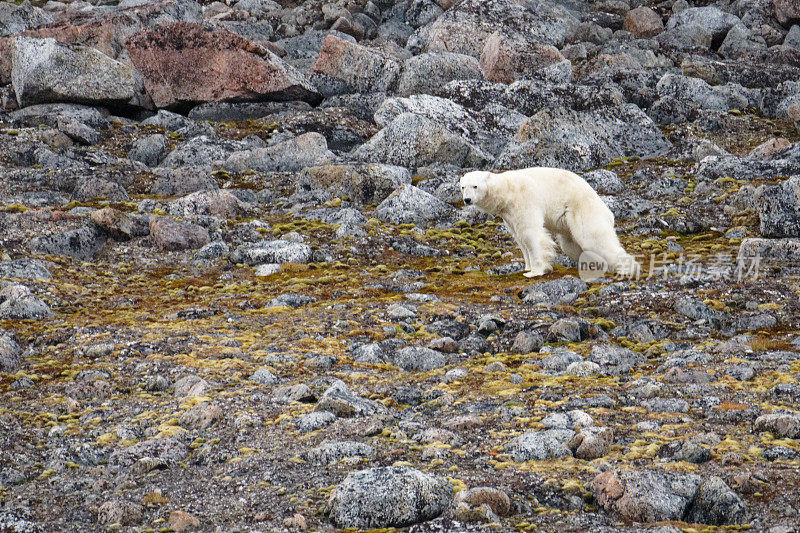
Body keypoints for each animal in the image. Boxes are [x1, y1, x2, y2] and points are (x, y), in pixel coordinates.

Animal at [460, 167, 640, 278]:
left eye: (475, 186)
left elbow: (532, 233)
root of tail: (607, 210)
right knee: (571, 246)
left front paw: (535, 271)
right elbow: (520, 238)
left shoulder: (524, 200)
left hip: (582, 209)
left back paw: (626, 268)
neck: (507, 191)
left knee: (593, 238)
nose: (467, 200)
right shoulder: (508, 214)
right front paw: (527, 266)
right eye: (463, 187)